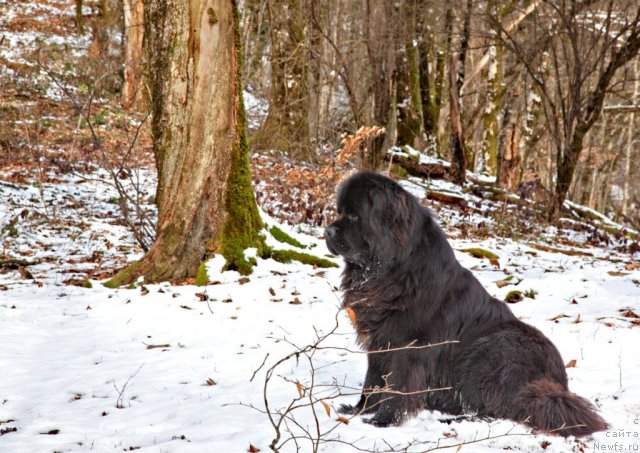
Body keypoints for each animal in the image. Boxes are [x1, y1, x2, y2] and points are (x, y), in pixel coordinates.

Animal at [328, 171, 608, 436]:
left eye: (354, 217)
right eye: (340, 211)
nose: (328, 231)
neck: (391, 269)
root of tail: (558, 382)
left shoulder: (409, 347)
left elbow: (398, 388)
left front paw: (382, 421)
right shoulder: (380, 341)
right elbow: (373, 381)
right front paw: (359, 411)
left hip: (488, 355)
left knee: (494, 411)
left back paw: (453, 420)